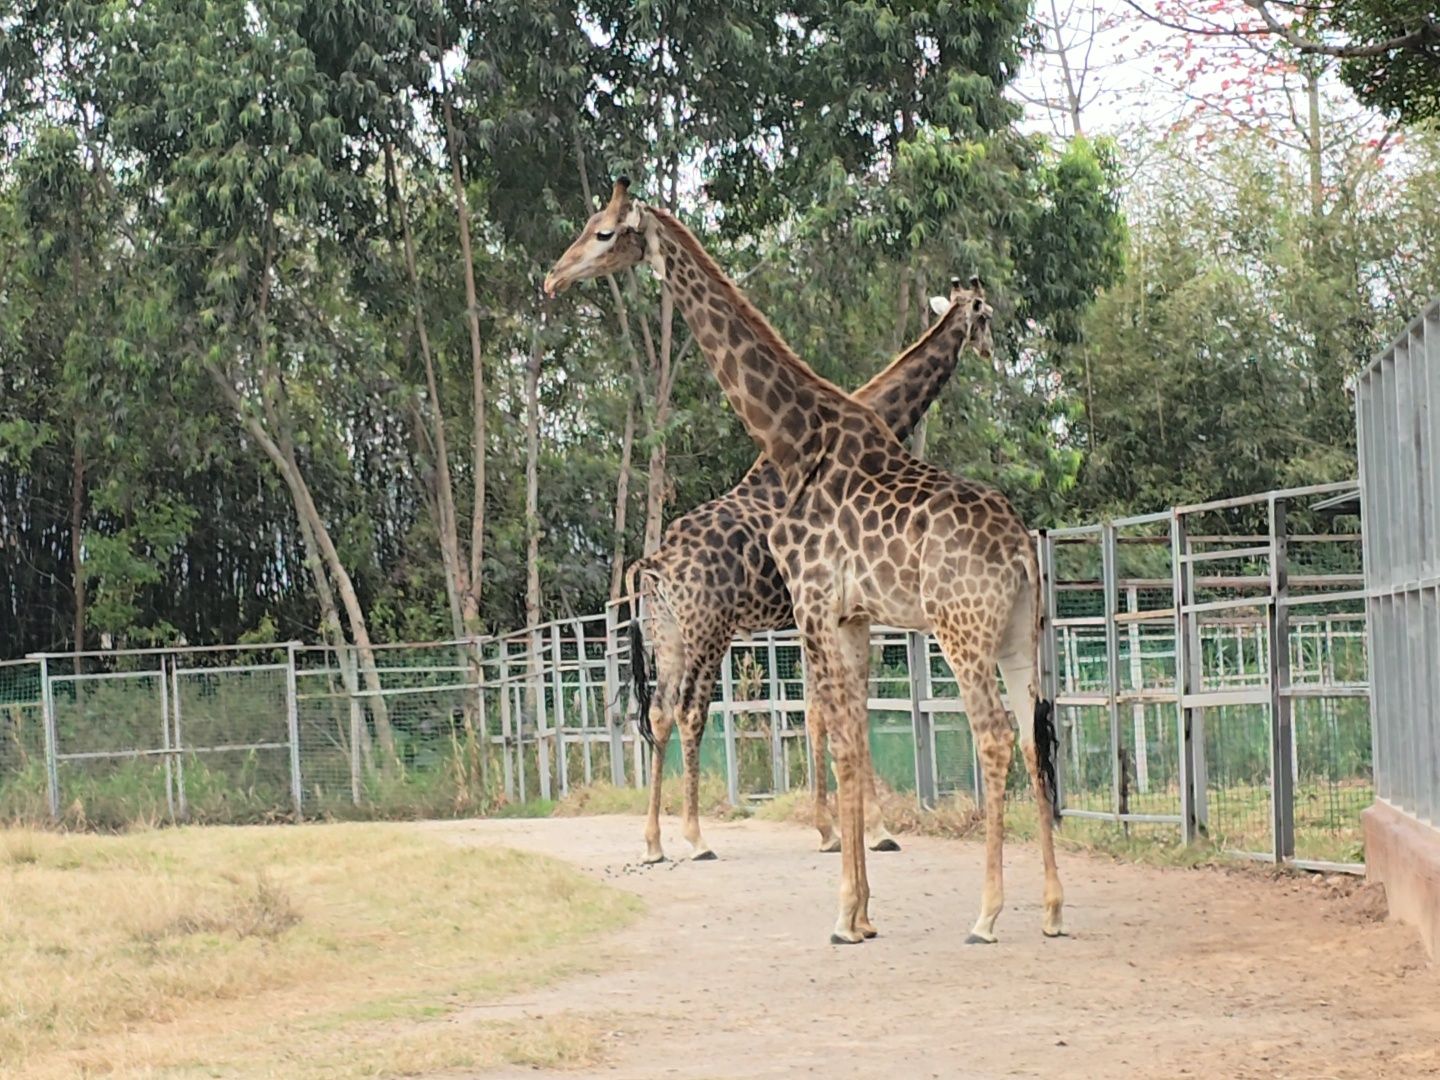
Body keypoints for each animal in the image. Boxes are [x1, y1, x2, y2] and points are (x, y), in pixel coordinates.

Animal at [630, 276, 1002, 864]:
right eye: (986, 315)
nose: (991, 351)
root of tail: (656, 562)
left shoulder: (806, 616)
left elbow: (815, 711)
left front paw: (829, 830)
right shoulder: (843, 610)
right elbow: (848, 706)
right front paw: (875, 829)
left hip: (667, 633)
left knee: (662, 713)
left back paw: (653, 842)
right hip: (708, 629)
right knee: (690, 712)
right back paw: (696, 836)